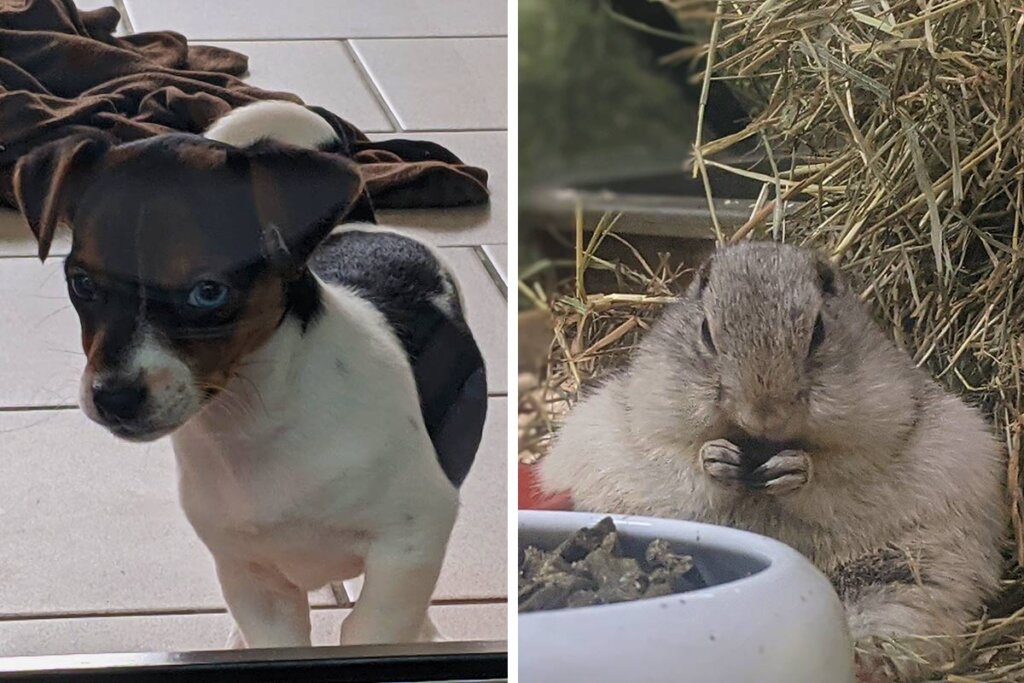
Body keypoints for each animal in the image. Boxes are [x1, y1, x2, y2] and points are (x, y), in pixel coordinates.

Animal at [11, 100, 491, 647]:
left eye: (208, 291)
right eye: (82, 282)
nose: (114, 399)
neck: (254, 421)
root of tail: (361, 226)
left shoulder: (413, 538)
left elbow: (372, 625)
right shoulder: (250, 575)